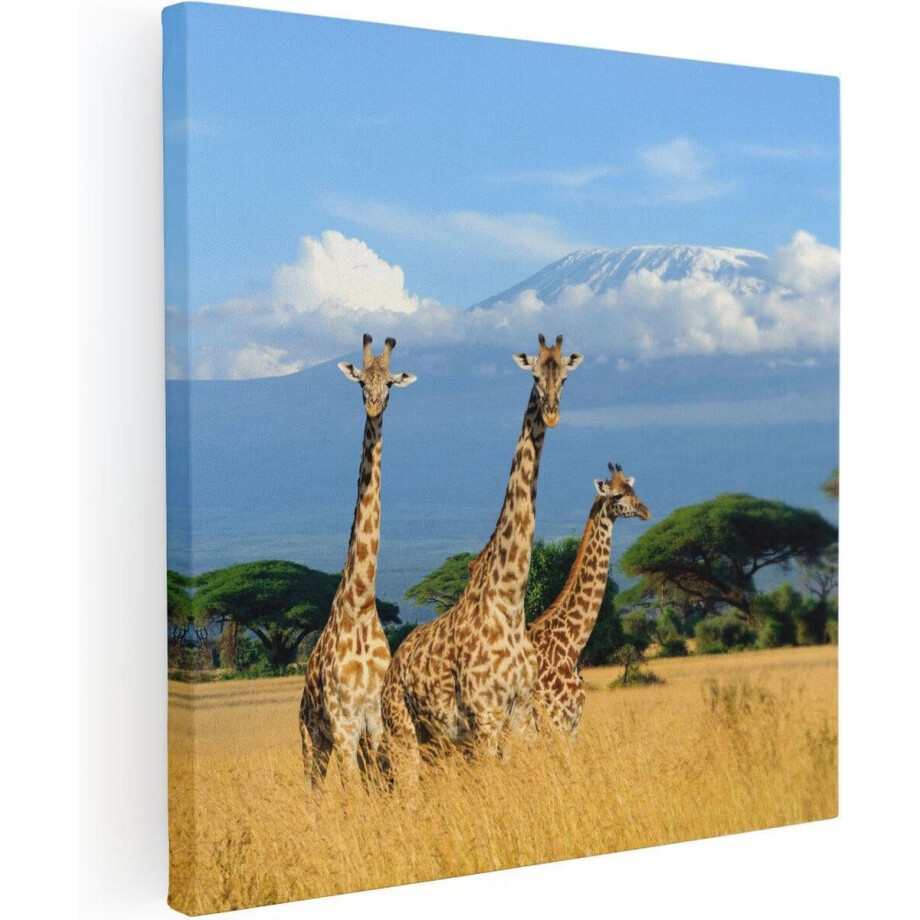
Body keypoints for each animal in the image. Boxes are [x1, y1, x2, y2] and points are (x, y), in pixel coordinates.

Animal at [298, 334, 416, 790]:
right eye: (361, 383)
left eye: (391, 385)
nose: (373, 406)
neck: (362, 602)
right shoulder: (345, 724)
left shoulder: (376, 723)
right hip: (312, 740)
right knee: (314, 791)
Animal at [380, 334, 583, 775]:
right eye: (534, 375)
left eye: (565, 377)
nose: (552, 414)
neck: (509, 600)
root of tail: (392, 668)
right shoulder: (485, 716)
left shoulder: (521, 713)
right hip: (403, 732)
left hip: (438, 741)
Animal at [528, 463, 650, 738]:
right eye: (617, 495)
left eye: (633, 490)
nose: (645, 511)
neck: (570, 645)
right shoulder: (560, 721)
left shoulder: (572, 725)